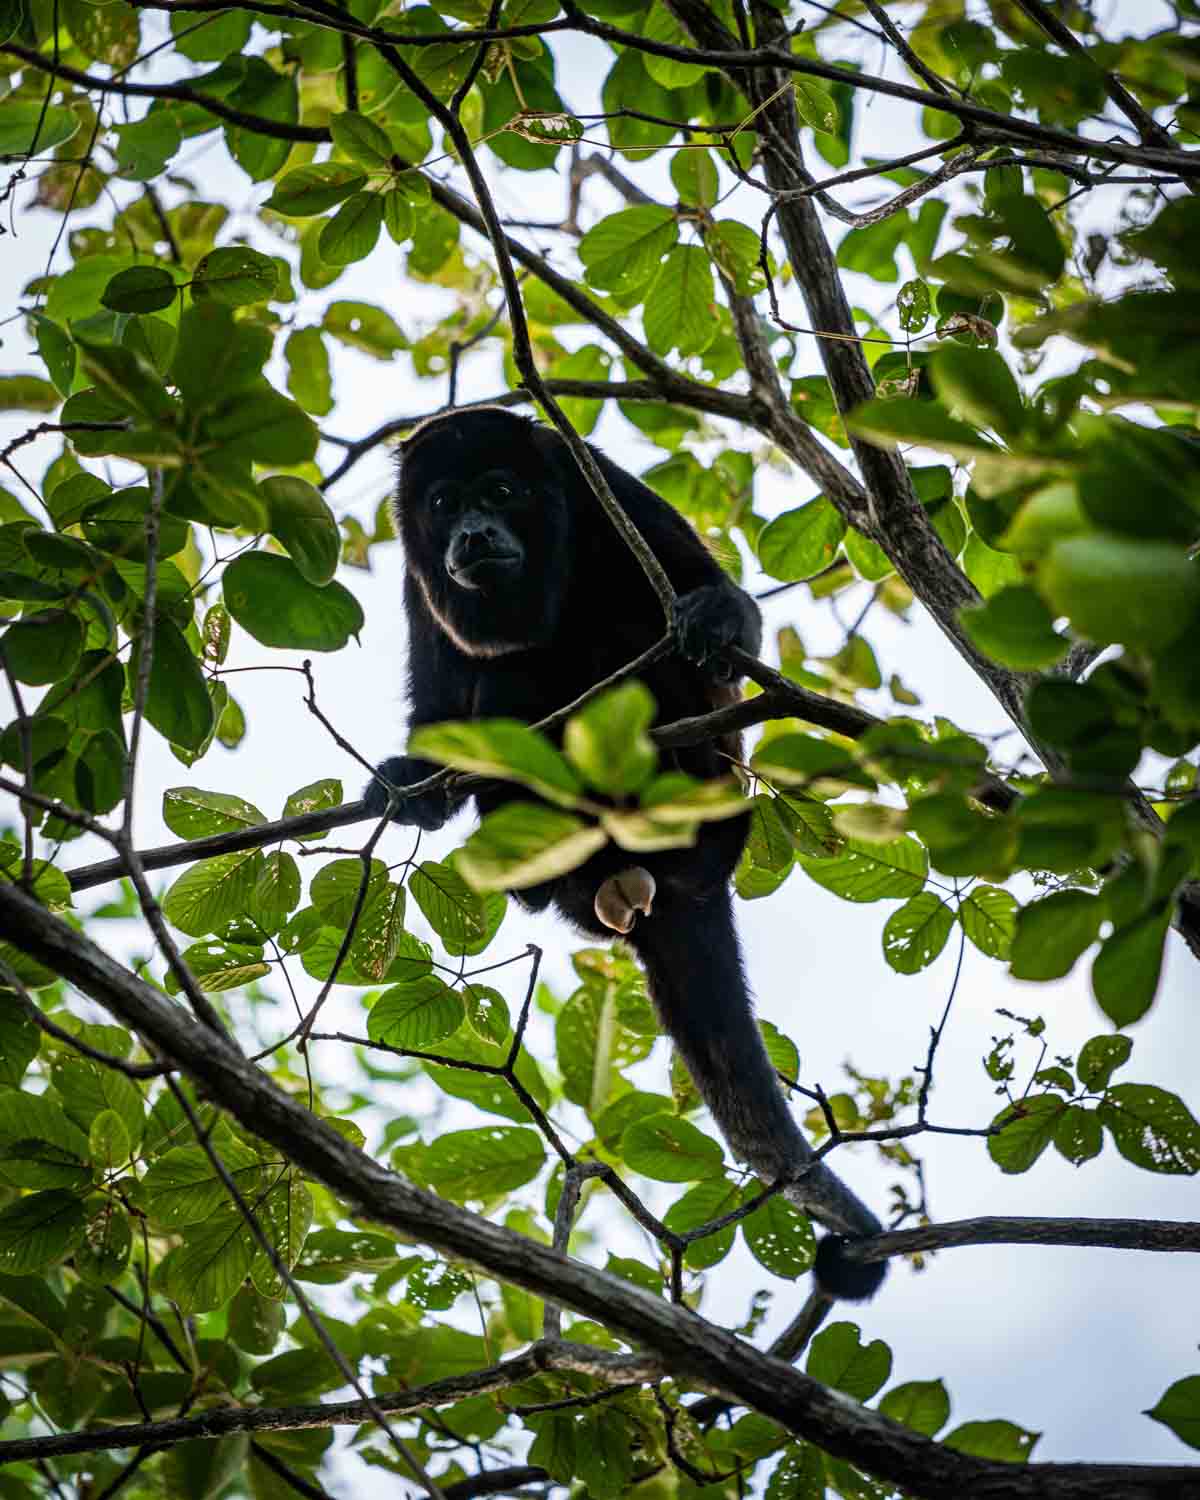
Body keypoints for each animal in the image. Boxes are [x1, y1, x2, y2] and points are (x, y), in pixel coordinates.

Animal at [365, 406, 887, 1301]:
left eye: (500, 491)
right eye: (441, 504)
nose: (471, 534)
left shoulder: (603, 485)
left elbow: (725, 607)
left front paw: (711, 617)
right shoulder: (415, 571)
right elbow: (438, 699)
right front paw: (414, 785)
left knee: (604, 644)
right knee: (504, 677)